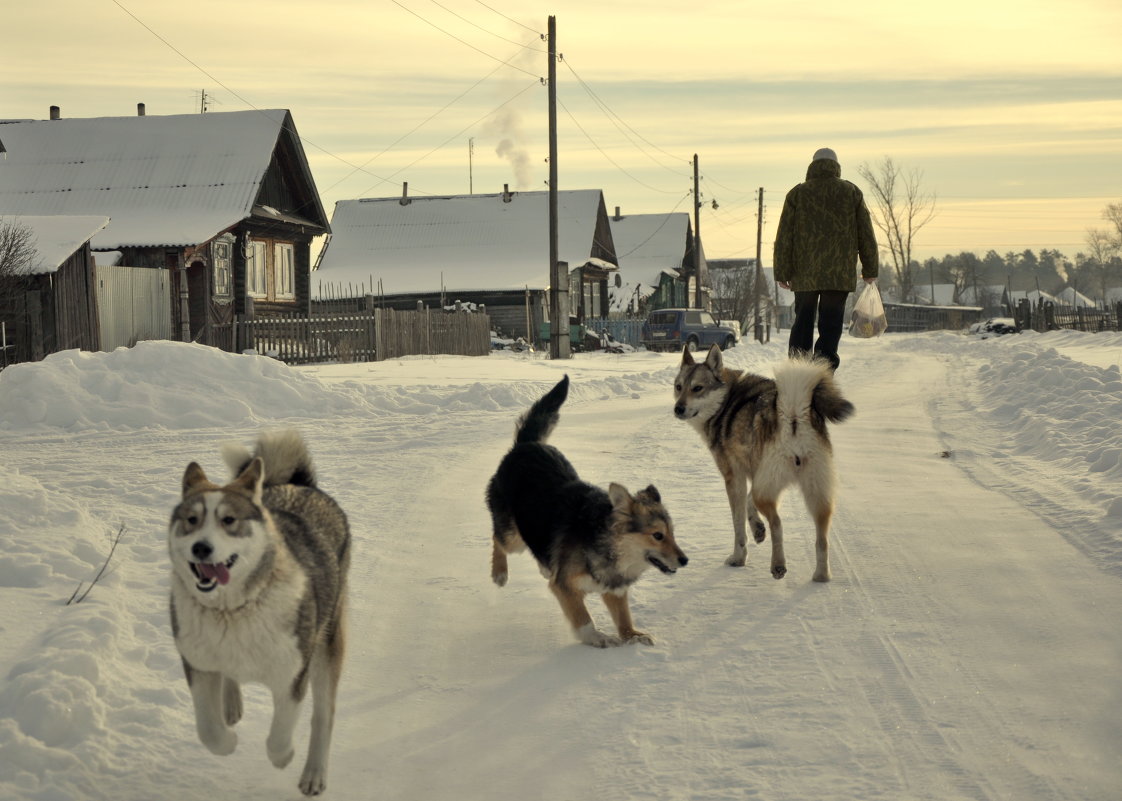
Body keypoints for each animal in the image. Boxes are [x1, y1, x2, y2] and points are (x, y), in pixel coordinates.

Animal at [167, 430, 345, 794]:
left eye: (228, 521)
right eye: (191, 521)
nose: (201, 548)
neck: (233, 610)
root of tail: (297, 484)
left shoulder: (293, 673)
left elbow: (280, 735)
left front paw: (284, 757)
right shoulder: (198, 663)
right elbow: (209, 732)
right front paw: (228, 741)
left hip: (327, 642)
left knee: (323, 714)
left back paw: (314, 772)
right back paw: (231, 703)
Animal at [486, 376, 686, 646]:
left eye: (673, 533)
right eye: (657, 535)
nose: (685, 560)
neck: (606, 543)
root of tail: (527, 444)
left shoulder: (614, 590)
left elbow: (623, 618)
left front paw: (632, 635)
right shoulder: (564, 587)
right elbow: (583, 619)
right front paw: (597, 638)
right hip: (513, 537)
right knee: (498, 539)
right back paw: (499, 572)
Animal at [673, 343, 848, 578]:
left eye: (697, 388)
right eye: (678, 387)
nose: (678, 408)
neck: (725, 401)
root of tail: (793, 414)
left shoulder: (734, 479)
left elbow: (738, 526)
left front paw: (738, 558)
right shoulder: (758, 477)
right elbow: (749, 504)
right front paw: (757, 529)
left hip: (768, 490)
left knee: (778, 525)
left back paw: (778, 565)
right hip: (811, 494)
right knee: (822, 539)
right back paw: (821, 576)